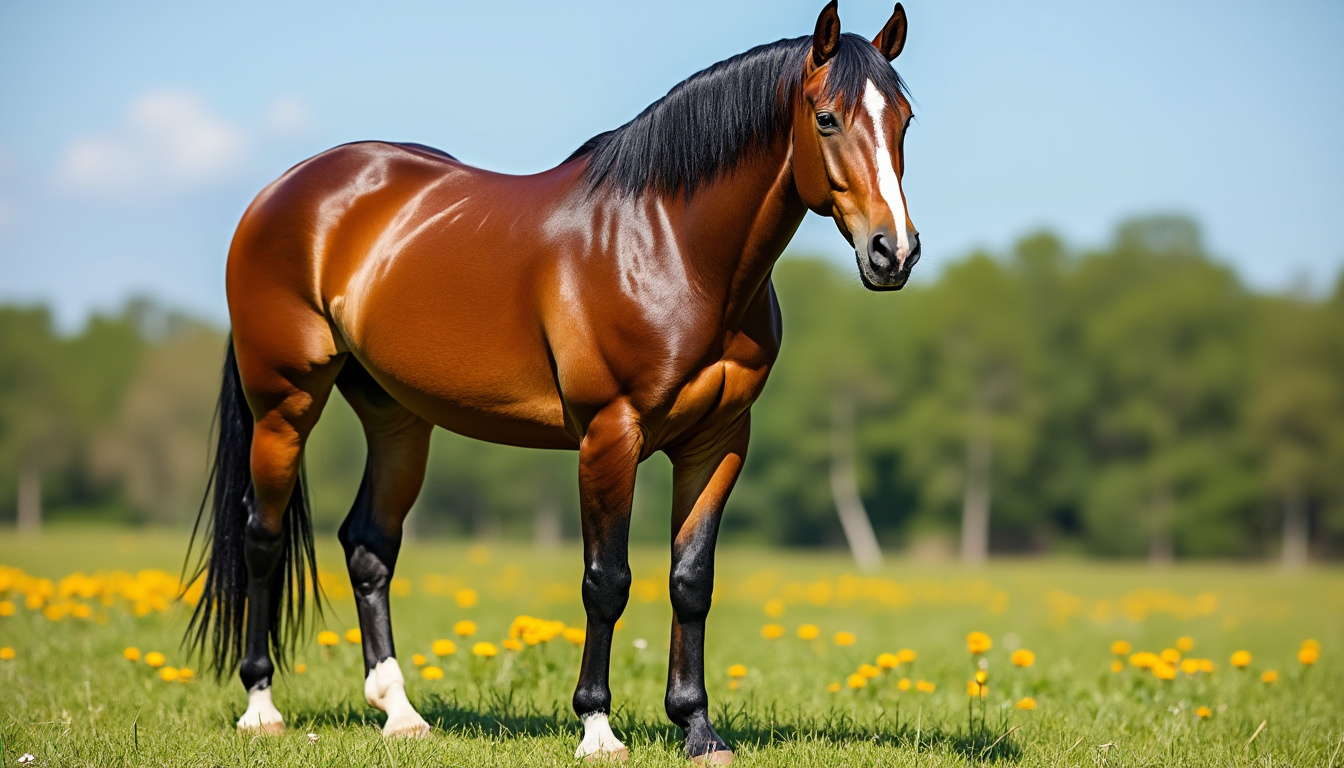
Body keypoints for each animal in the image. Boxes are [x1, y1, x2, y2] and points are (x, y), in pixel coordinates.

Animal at [185, 1, 919, 762]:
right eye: (826, 117)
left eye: (905, 120)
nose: (893, 252)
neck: (670, 246)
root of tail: (282, 191)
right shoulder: (609, 436)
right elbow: (607, 580)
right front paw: (597, 728)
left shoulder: (717, 442)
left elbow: (691, 580)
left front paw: (697, 728)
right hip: (283, 405)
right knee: (263, 535)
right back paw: (261, 706)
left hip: (396, 418)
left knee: (368, 545)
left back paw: (400, 712)